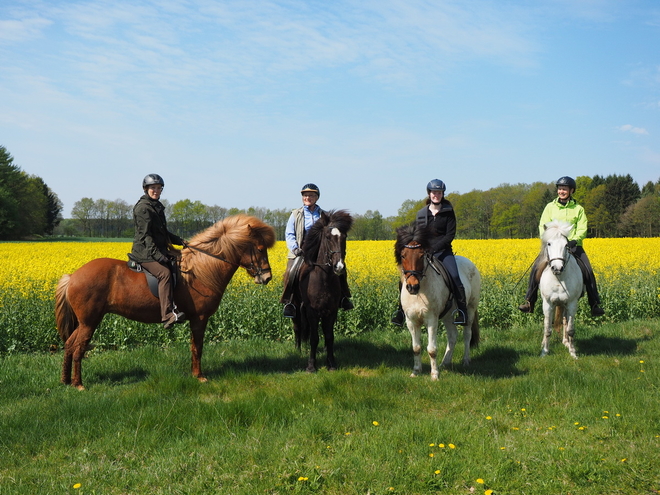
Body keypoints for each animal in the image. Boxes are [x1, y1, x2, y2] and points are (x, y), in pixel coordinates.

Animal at [53, 215, 276, 390]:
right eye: (259, 248)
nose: (266, 277)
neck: (201, 269)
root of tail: (73, 277)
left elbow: (193, 346)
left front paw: (195, 374)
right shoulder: (200, 318)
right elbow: (198, 347)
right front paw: (199, 376)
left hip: (85, 322)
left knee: (69, 345)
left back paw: (65, 381)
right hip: (89, 322)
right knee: (78, 348)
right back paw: (79, 384)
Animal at [292, 208, 354, 372]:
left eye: (344, 237)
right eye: (327, 237)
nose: (339, 267)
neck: (323, 278)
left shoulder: (332, 310)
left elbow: (329, 336)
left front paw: (331, 363)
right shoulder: (311, 311)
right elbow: (314, 338)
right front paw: (311, 366)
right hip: (296, 306)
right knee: (297, 326)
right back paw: (297, 349)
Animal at [394, 224, 482, 380]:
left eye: (421, 255)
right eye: (403, 255)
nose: (412, 287)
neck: (420, 292)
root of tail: (469, 262)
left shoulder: (431, 320)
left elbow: (431, 349)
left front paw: (434, 375)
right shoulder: (411, 321)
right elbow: (416, 348)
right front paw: (416, 371)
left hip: (470, 309)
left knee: (467, 334)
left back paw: (465, 361)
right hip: (447, 315)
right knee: (452, 336)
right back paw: (445, 363)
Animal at [540, 220, 584, 356]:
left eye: (566, 245)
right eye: (549, 243)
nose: (557, 268)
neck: (559, 279)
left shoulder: (572, 303)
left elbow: (570, 329)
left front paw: (573, 352)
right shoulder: (548, 304)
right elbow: (547, 329)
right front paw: (544, 351)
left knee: (565, 320)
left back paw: (566, 342)